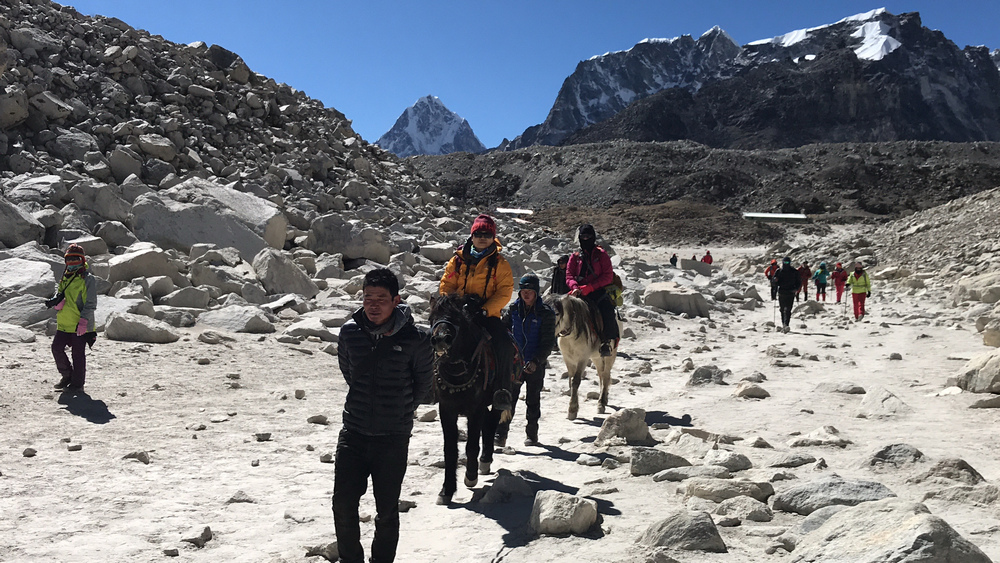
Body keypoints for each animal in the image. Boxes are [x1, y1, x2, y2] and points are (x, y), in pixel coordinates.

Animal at [430, 296, 512, 506]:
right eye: (431, 317)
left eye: (457, 318)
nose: (440, 339)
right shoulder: (447, 410)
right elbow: (450, 449)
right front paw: (446, 491)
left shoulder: (476, 409)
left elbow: (472, 444)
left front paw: (471, 476)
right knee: (488, 424)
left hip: (498, 399)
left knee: (491, 423)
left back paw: (484, 461)